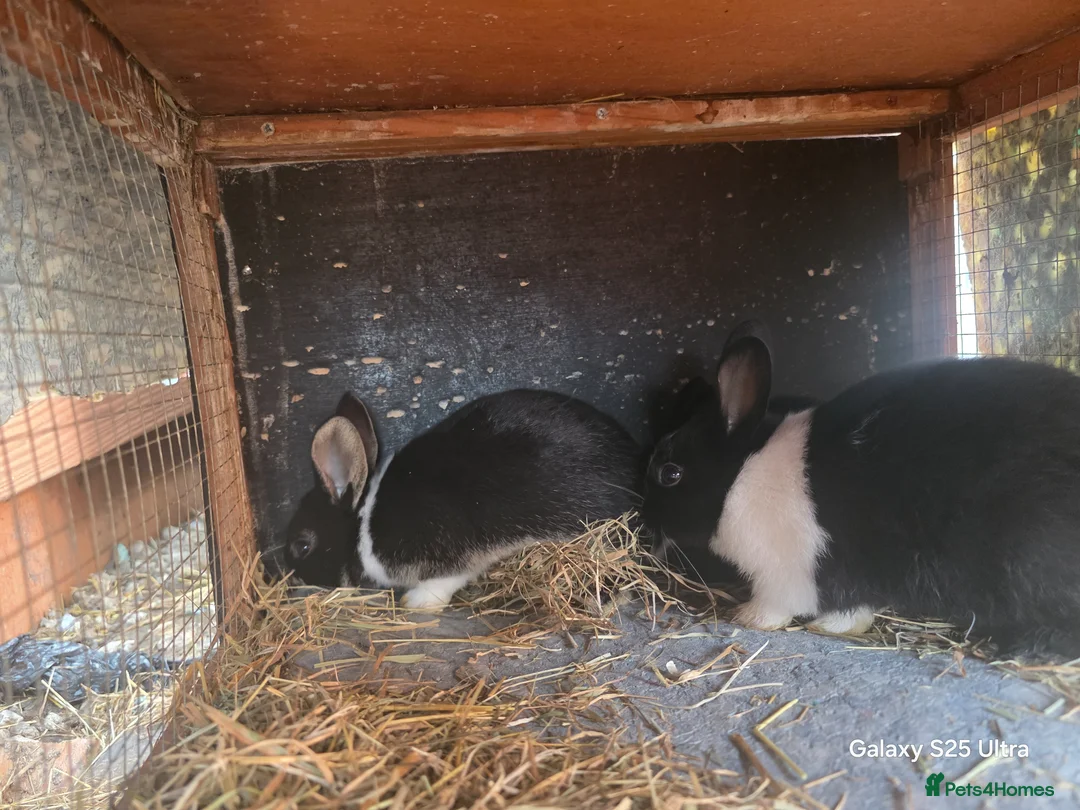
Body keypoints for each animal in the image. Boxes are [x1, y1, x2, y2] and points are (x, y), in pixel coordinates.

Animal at [284, 388, 643, 608]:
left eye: (302, 545)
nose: (292, 584)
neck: (364, 522)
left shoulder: (452, 555)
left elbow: (447, 581)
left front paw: (417, 603)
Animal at [643, 319, 1080, 656]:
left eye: (670, 473)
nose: (647, 524)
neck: (743, 476)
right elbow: (854, 610)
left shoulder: (786, 574)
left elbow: (779, 606)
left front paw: (748, 618)